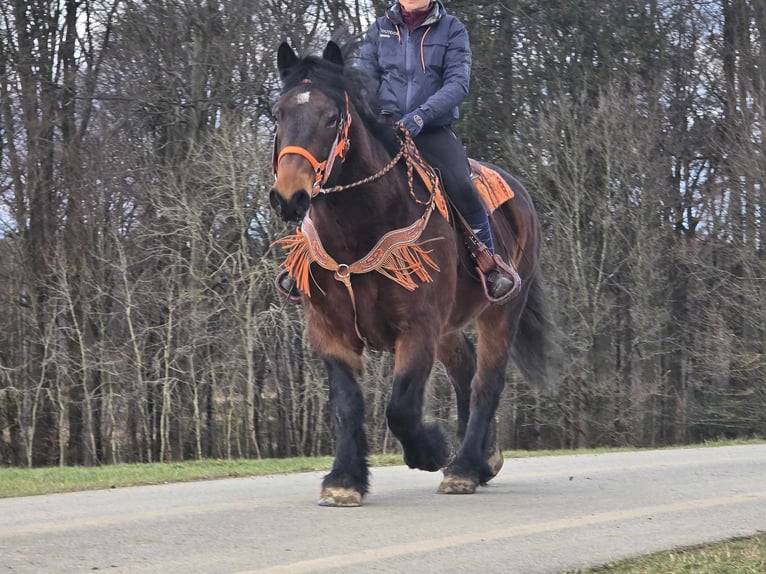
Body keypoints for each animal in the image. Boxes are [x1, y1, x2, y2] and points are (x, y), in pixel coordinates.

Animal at [270, 41, 552, 508]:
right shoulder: (330, 330)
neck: (358, 233)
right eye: (279, 113)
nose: (289, 196)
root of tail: (520, 197)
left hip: (503, 309)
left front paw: (431, 449)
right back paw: (483, 462)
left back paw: (463, 468)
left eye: (331, 117)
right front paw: (344, 480)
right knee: (465, 373)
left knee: (486, 383)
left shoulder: (417, 328)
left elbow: (400, 407)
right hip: (450, 327)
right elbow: (347, 404)